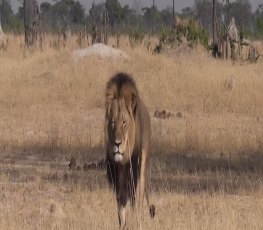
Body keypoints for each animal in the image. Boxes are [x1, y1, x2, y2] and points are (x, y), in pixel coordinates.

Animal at [104, 73, 156, 228]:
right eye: (113, 122)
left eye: (124, 122)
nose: (117, 143)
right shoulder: (117, 173)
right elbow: (121, 202)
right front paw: (122, 224)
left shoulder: (134, 168)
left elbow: (134, 199)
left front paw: (135, 222)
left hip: (143, 164)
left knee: (139, 197)